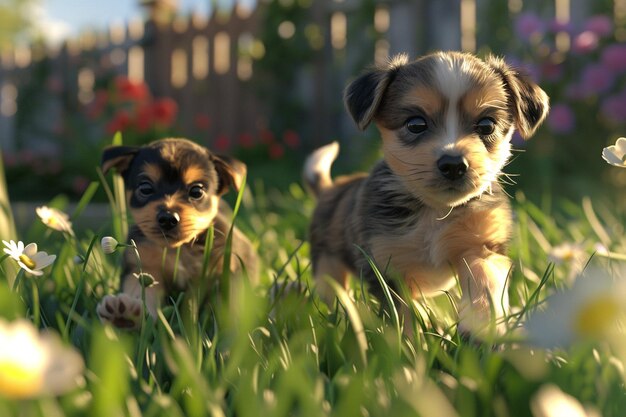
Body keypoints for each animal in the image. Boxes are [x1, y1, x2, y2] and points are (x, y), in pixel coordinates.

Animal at [95, 138, 256, 326]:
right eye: (145, 188)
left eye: (196, 191)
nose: (168, 218)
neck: (180, 249)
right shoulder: (143, 265)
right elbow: (140, 293)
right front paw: (126, 315)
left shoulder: (229, 266)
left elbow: (232, 302)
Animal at [304, 50, 548, 334]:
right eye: (416, 124)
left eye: (487, 126)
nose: (453, 164)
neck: (435, 211)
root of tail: (329, 189)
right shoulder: (388, 265)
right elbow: (405, 311)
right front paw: (412, 341)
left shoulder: (483, 244)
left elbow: (485, 277)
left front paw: (482, 323)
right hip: (326, 264)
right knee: (332, 291)